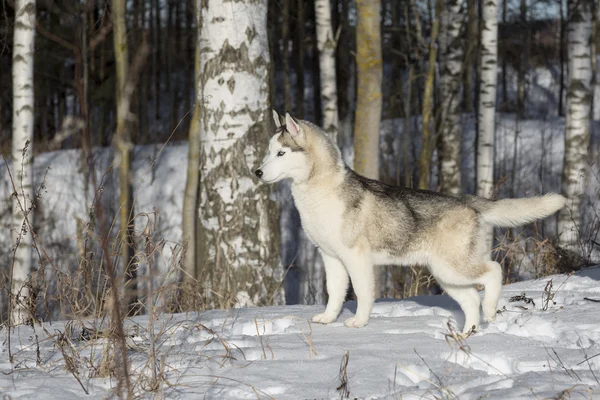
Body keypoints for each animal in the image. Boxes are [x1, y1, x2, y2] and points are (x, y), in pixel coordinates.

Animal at [254, 111, 568, 334]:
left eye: (281, 153)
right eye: (268, 152)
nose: (256, 172)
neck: (319, 191)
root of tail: (467, 201)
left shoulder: (356, 257)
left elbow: (363, 293)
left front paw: (359, 322)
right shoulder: (330, 257)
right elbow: (334, 292)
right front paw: (328, 318)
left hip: (454, 267)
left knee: (493, 272)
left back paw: (490, 311)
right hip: (446, 274)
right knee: (471, 300)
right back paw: (466, 335)